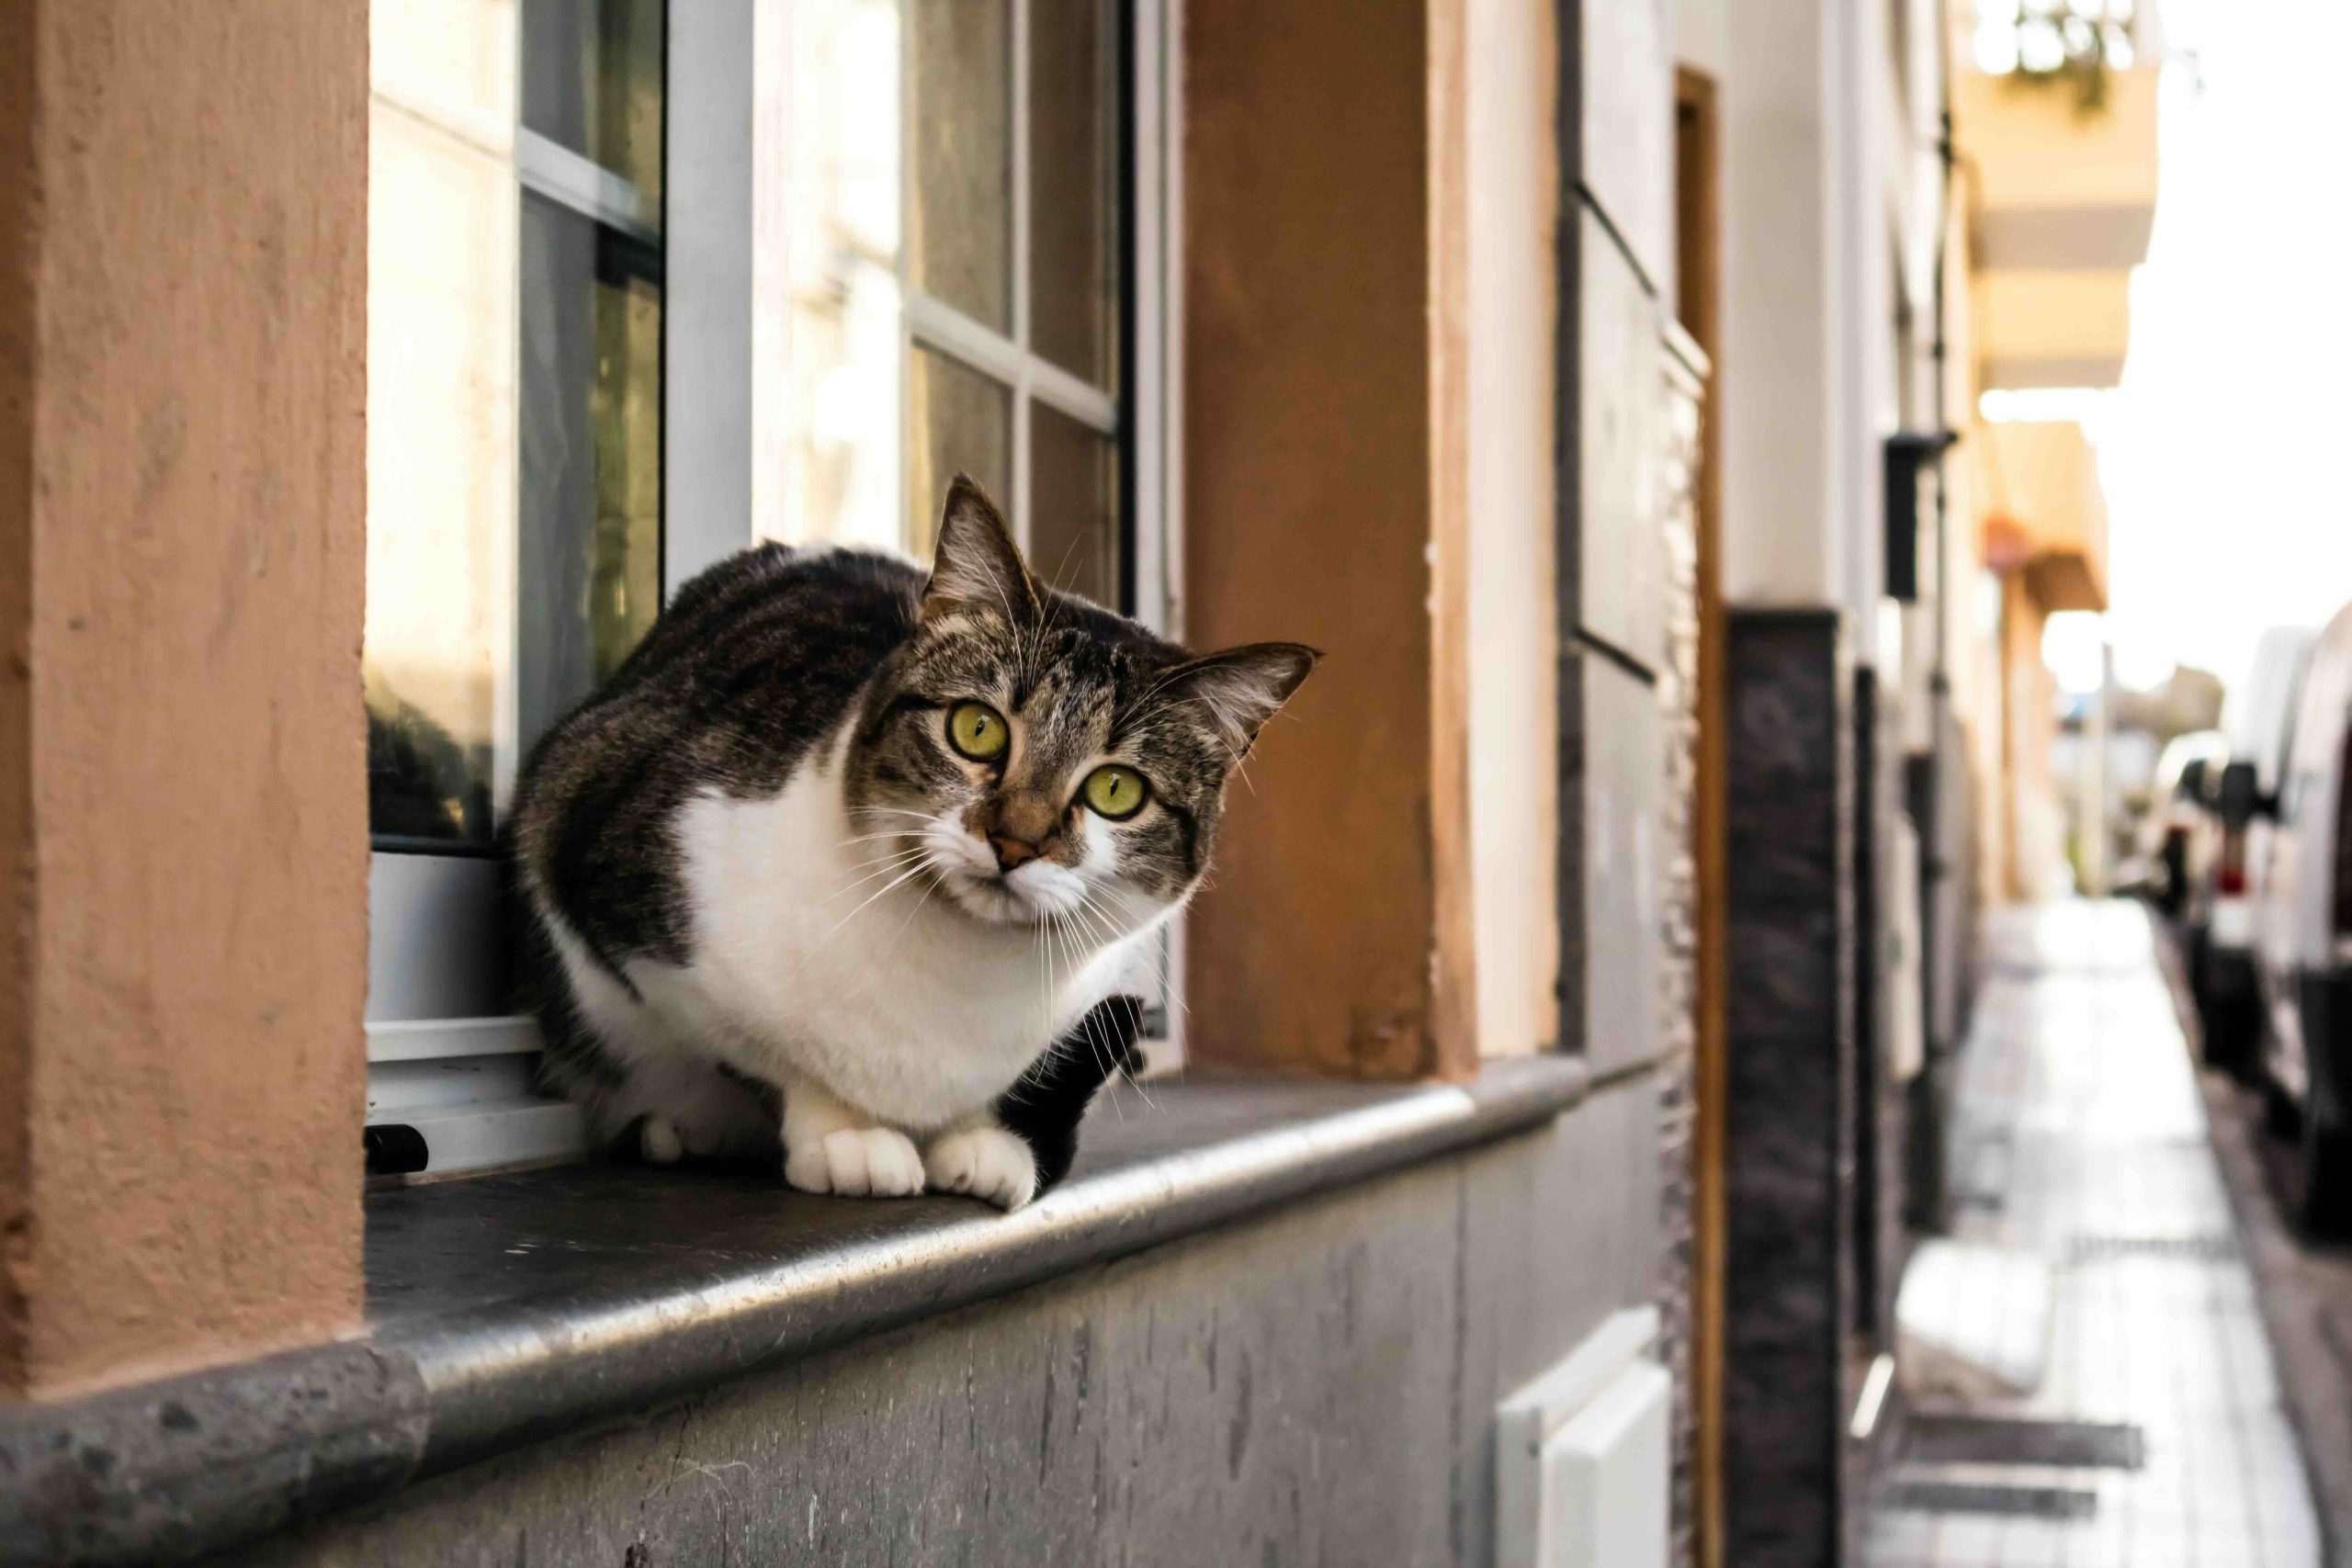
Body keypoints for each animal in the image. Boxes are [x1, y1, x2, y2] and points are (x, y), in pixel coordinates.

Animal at [513, 479, 1317, 1213]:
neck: (959, 980)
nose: (1014, 841)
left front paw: (986, 1142)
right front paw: (844, 1133)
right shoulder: (614, 859)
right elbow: (758, 1052)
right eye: (977, 728)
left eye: (1116, 790)